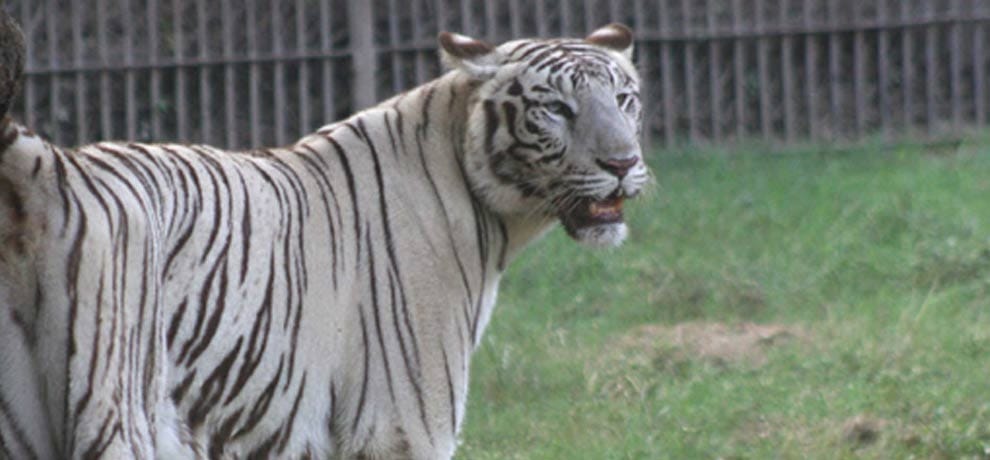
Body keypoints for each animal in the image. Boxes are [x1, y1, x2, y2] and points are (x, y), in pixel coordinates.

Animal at [0, 11, 647, 459]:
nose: (623, 163)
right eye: (556, 110)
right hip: (116, 412)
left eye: (624, 99)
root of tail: (49, 166)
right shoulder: (404, 425)